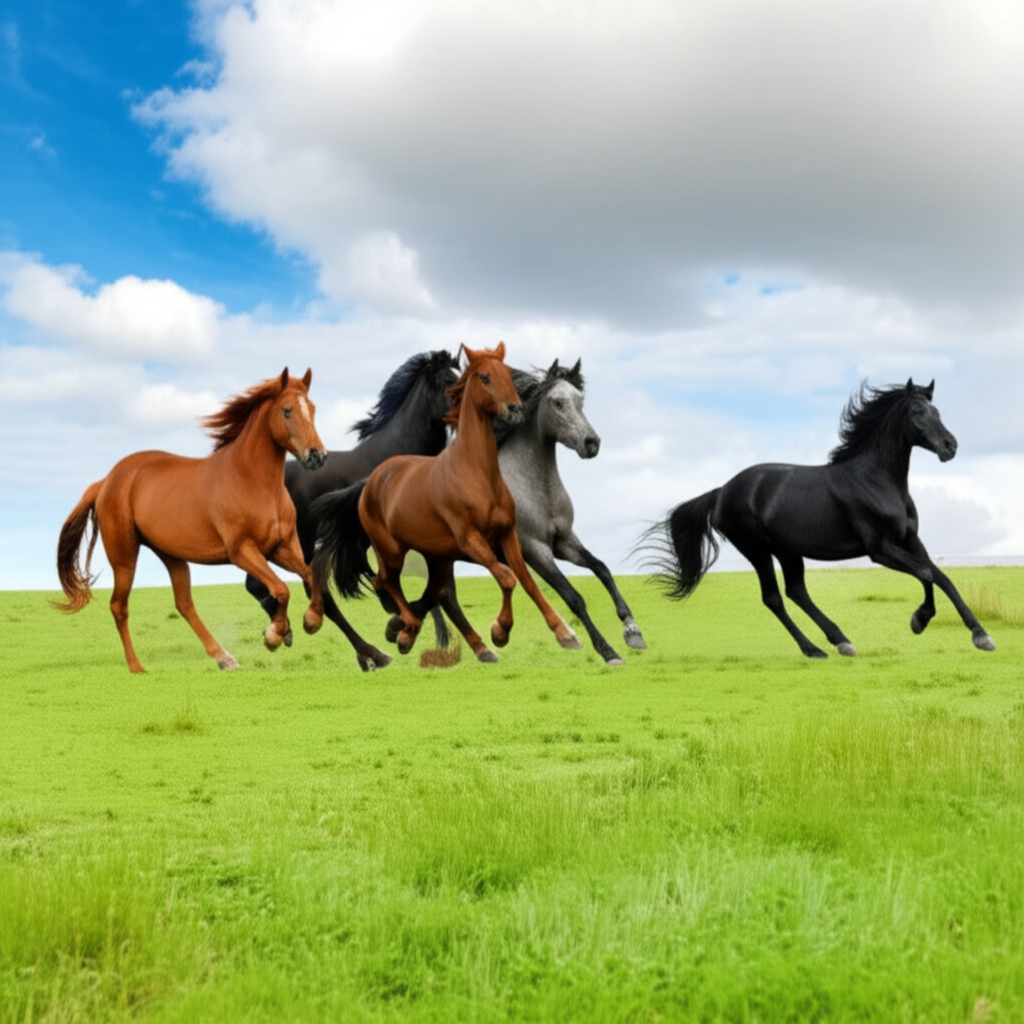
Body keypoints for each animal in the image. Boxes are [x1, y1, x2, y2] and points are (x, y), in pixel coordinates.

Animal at [54, 368, 328, 673]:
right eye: (287, 410)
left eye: (312, 409)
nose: (317, 456)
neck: (255, 483)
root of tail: (105, 481)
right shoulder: (242, 551)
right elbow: (281, 589)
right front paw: (275, 635)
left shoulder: (280, 548)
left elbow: (312, 575)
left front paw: (311, 621)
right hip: (124, 557)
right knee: (119, 606)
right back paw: (137, 667)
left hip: (172, 555)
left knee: (184, 604)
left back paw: (224, 657)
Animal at [244, 350, 459, 671]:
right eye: (447, 383)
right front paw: (403, 628)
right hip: (302, 542)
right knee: (317, 592)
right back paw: (371, 654)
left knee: (260, 585)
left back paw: (285, 631)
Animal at [311, 343, 583, 662]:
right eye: (484, 377)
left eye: (508, 374)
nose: (515, 410)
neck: (476, 473)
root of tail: (370, 481)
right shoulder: (470, 539)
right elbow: (506, 577)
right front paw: (500, 631)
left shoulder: (508, 535)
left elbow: (525, 580)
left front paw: (565, 634)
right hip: (391, 549)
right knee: (387, 582)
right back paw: (406, 628)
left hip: (436, 554)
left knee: (431, 591)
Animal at [641, 379, 995, 658]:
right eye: (917, 412)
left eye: (937, 412)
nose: (950, 447)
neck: (876, 480)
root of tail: (722, 491)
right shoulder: (879, 549)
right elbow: (927, 573)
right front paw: (928, 622)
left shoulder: (910, 540)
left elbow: (939, 576)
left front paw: (970, 632)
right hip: (757, 549)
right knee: (774, 599)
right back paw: (814, 649)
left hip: (787, 550)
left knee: (796, 592)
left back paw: (841, 642)